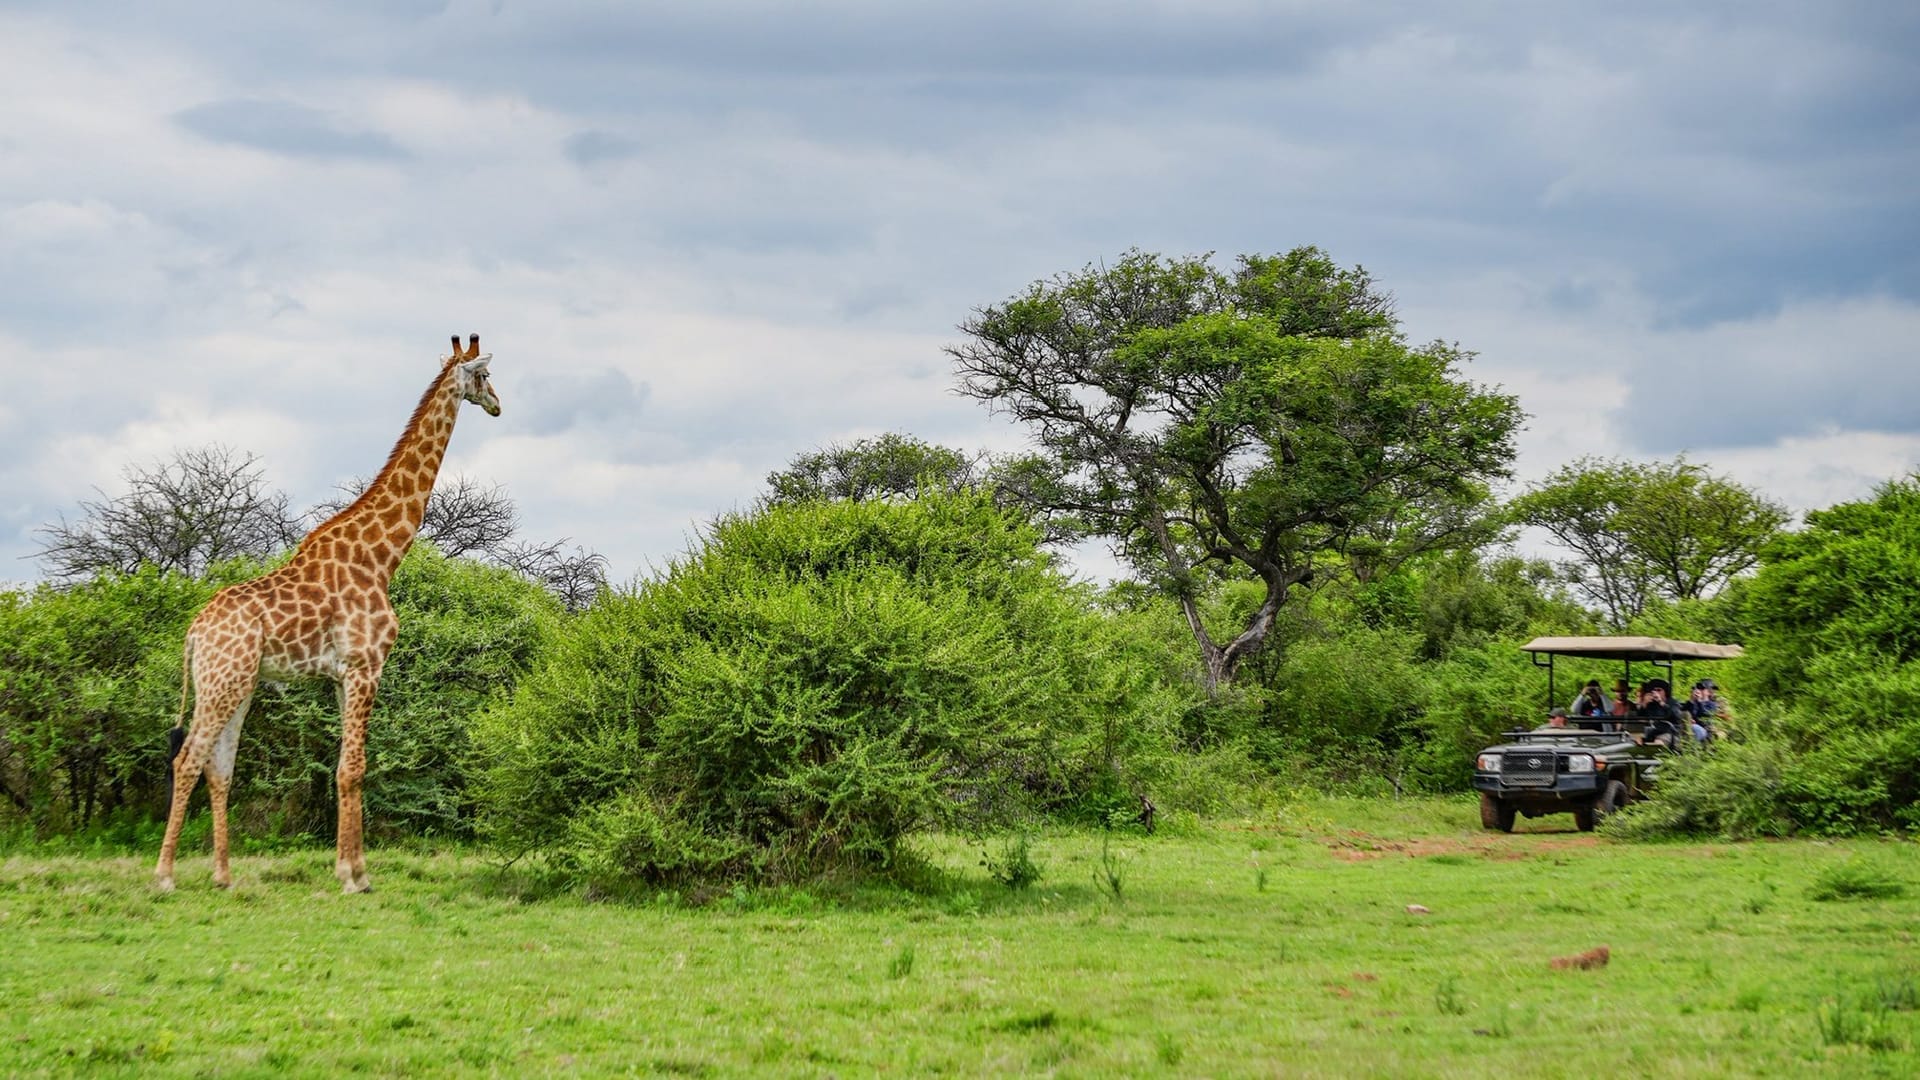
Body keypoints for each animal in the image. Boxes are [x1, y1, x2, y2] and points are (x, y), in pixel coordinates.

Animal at [154, 334, 502, 894]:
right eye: (486, 376)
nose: (497, 405)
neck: (381, 557)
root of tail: (192, 633)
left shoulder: (342, 675)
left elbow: (349, 765)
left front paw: (353, 868)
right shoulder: (366, 665)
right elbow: (353, 768)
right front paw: (353, 877)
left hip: (235, 683)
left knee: (218, 766)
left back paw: (224, 876)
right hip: (223, 682)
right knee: (188, 759)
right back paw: (165, 876)